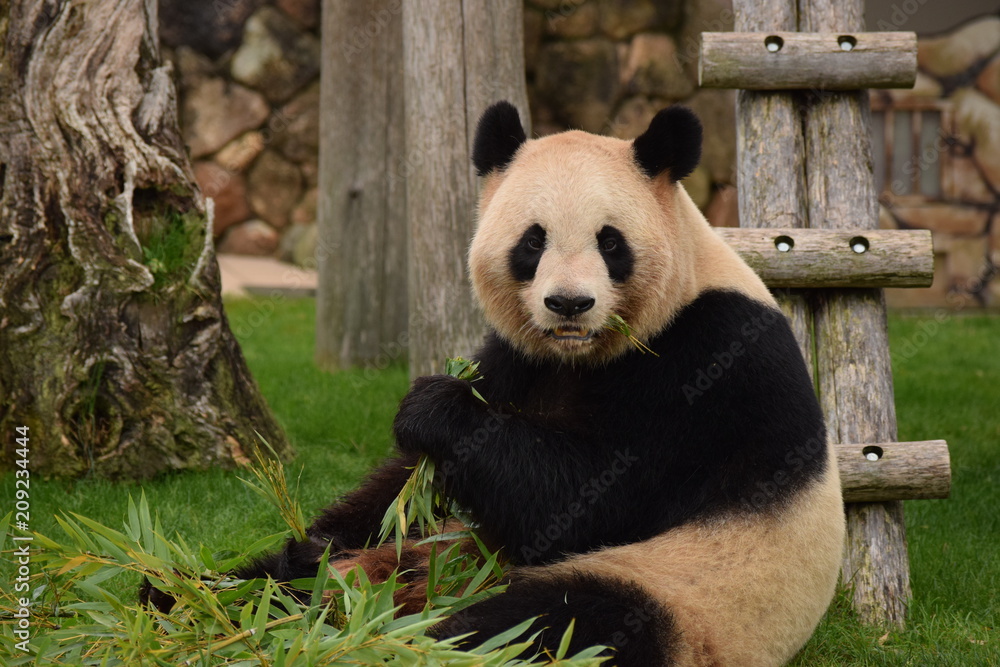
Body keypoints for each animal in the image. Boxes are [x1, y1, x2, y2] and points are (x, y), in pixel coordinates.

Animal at [228, 102, 846, 666]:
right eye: (533, 241)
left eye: (610, 242)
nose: (569, 303)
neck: (579, 355)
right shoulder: (519, 358)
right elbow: (401, 493)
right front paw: (320, 539)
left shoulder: (708, 363)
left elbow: (589, 494)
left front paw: (432, 408)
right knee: (265, 582)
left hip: (681, 590)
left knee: (552, 625)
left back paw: (381, 643)